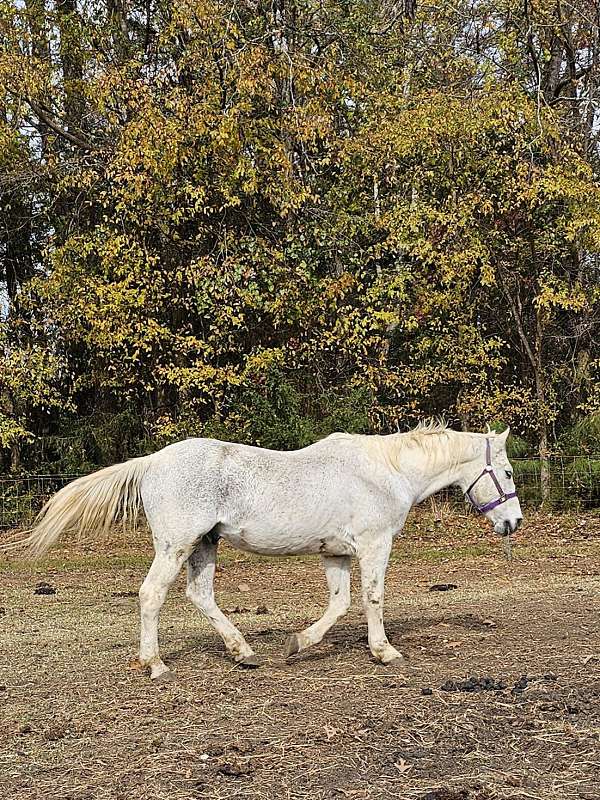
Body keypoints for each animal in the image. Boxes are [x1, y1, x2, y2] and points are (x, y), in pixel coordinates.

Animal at [9, 422, 520, 680]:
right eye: (510, 472)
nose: (513, 523)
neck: (386, 471)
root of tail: (152, 461)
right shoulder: (375, 545)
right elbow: (372, 599)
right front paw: (385, 652)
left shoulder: (336, 553)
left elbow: (340, 603)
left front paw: (298, 644)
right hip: (177, 545)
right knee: (152, 595)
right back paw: (155, 664)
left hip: (205, 544)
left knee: (200, 596)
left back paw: (243, 651)